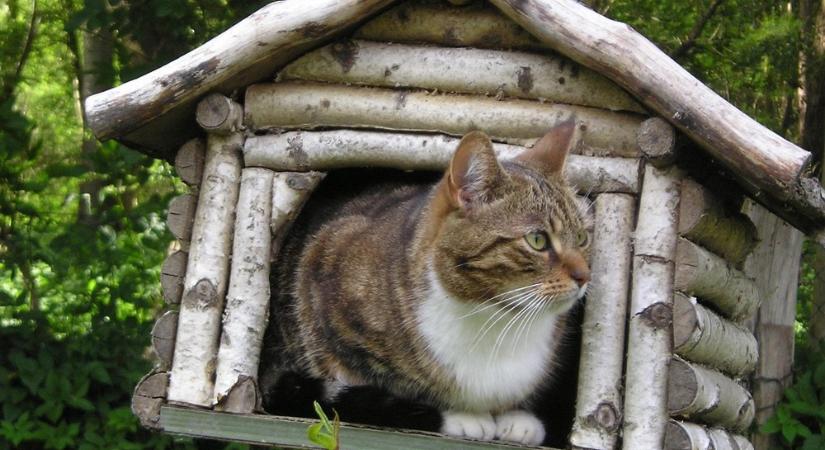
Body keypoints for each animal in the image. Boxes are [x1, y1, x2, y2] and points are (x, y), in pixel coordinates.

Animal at [258, 118, 584, 446]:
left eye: (582, 238)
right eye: (537, 240)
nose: (585, 276)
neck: (498, 317)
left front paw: (517, 418)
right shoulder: (327, 288)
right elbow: (372, 385)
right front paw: (462, 416)